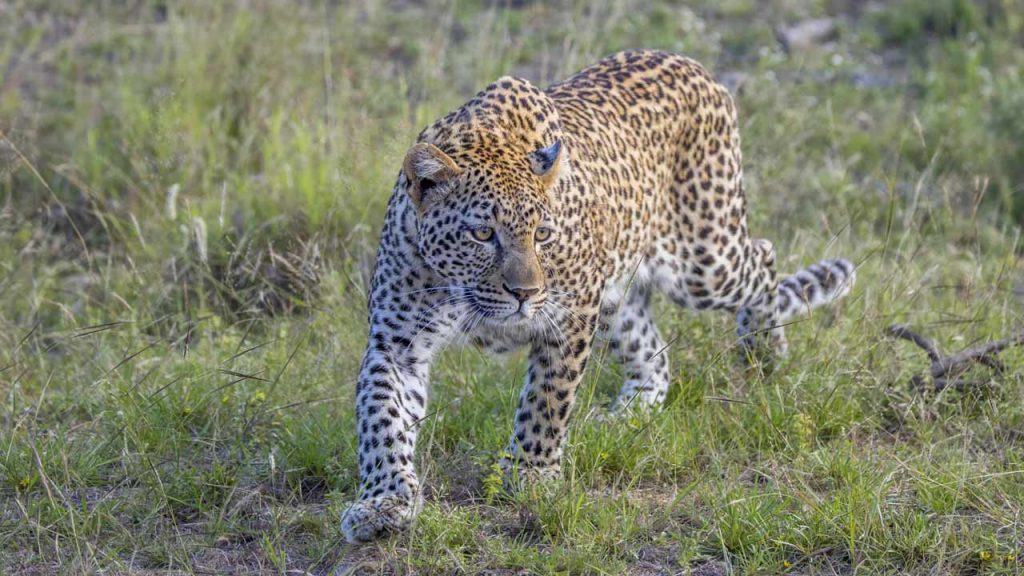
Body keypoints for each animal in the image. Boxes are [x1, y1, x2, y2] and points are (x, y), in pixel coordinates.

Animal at [341, 49, 855, 542]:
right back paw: (625, 416)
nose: (525, 293)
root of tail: (695, 67)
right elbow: (382, 419)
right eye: (483, 234)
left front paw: (529, 475)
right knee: (654, 357)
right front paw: (384, 502)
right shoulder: (396, 343)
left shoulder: (568, 316)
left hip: (704, 261)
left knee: (763, 255)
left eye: (543, 234)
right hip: (619, 296)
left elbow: (546, 401)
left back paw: (764, 350)